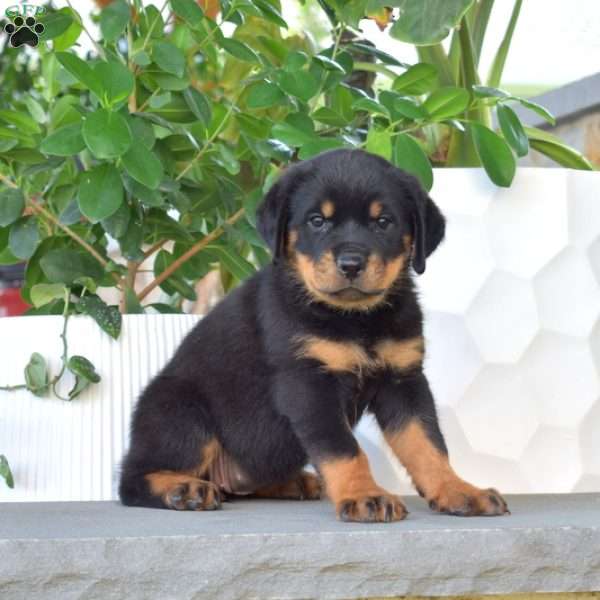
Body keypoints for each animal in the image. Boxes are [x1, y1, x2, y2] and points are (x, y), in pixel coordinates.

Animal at [119, 149, 508, 520]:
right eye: (317, 221)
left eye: (383, 222)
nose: (351, 263)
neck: (355, 319)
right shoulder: (308, 382)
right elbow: (343, 448)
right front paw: (364, 496)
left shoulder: (404, 378)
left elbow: (428, 444)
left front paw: (458, 491)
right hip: (182, 412)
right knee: (132, 479)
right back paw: (184, 489)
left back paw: (294, 482)